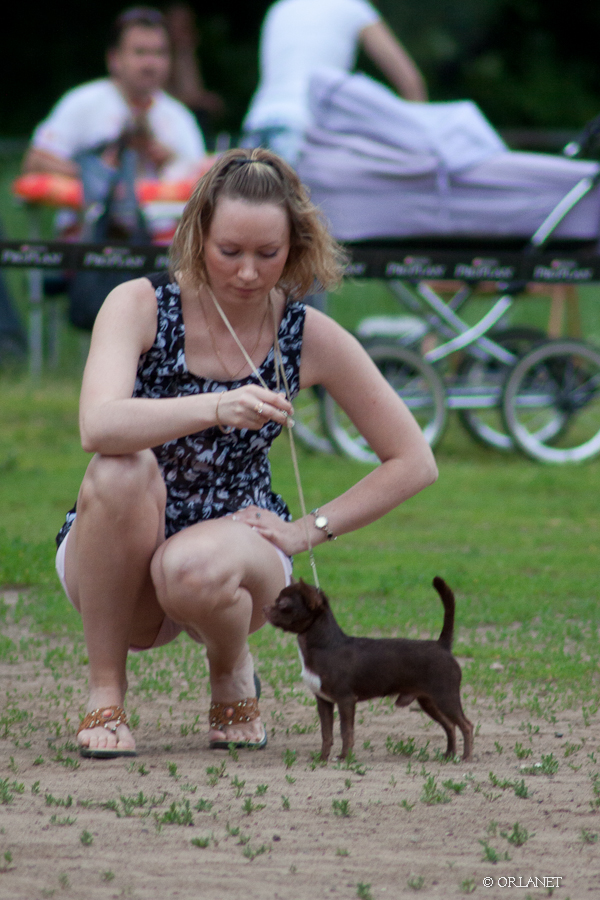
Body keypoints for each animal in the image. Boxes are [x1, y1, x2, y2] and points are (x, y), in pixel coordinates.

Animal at [264, 577, 473, 762]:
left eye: (283, 604)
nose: (265, 608)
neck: (325, 645)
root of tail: (442, 645)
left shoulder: (346, 700)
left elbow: (346, 731)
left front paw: (344, 757)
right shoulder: (323, 701)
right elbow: (326, 733)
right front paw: (322, 758)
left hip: (445, 698)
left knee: (466, 725)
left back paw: (466, 757)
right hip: (428, 702)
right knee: (450, 725)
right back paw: (449, 754)